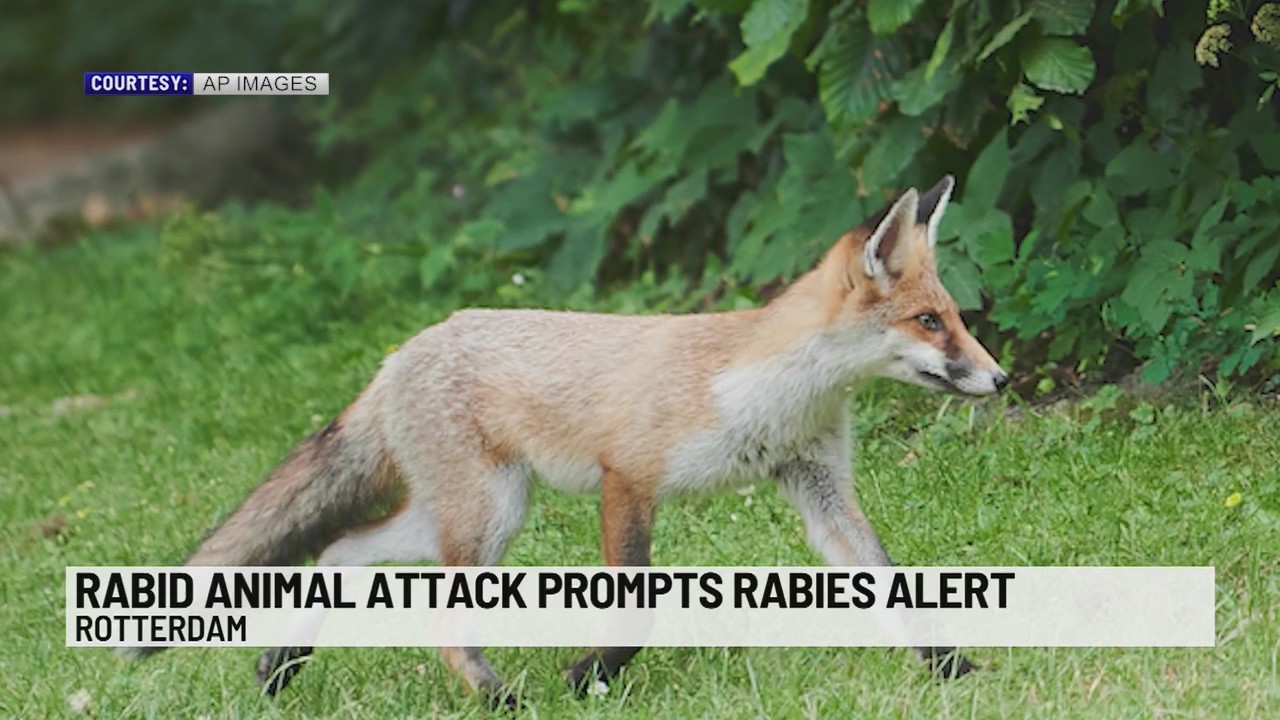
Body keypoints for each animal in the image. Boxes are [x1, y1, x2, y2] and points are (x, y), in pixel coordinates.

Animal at [121, 175, 1008, 706]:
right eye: (929, 322)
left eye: (955, 316)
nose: (1000, 380)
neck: (769, 391)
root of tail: (400, 352)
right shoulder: (630, 474)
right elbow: (634, 615)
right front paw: (588, 678)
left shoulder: (818, 487)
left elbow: (898, 592)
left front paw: (956, 671)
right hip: (486, 518)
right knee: (433, 619)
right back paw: (498, 700)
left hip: (473, 513)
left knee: (338, 549)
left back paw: (282, 668)